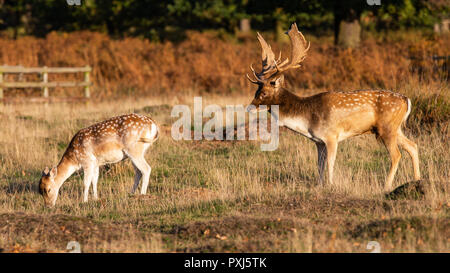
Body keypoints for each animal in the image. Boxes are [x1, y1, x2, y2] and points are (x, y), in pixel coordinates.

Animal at [246, 22, 418, 189]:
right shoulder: (318, 141)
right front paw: (320, 185)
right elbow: (319, 165)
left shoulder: (331, 136)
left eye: (264, 93)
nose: (249, 108)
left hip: (387, 127)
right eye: (256, 90)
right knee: (413, 146)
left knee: (396, 155)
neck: (306, 119)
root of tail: (407, 100)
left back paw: (386, 185)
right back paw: (417, 179)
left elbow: (330, 164)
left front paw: (331, 185)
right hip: (395, 128)